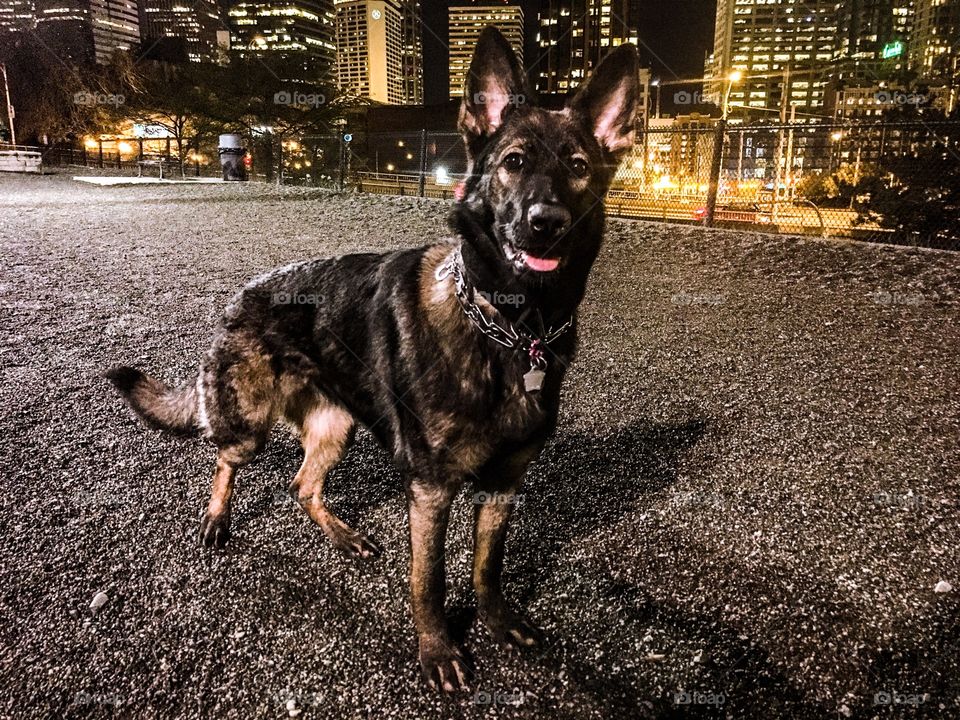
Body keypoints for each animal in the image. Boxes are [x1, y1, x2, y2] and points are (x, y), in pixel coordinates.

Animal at [107, 28, 636, 692]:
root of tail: (241, 294)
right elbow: (429, 580)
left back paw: (342, 535)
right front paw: (438, 651)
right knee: (226, 461)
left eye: (578, 167)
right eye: (513, 162)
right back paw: (217, 521)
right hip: (250, 425)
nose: (547, 223)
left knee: (303, 486)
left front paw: (496, 622)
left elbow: (487, 568)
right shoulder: (431, 490)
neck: (512, 327)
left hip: (336, 427)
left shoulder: (502, 486)